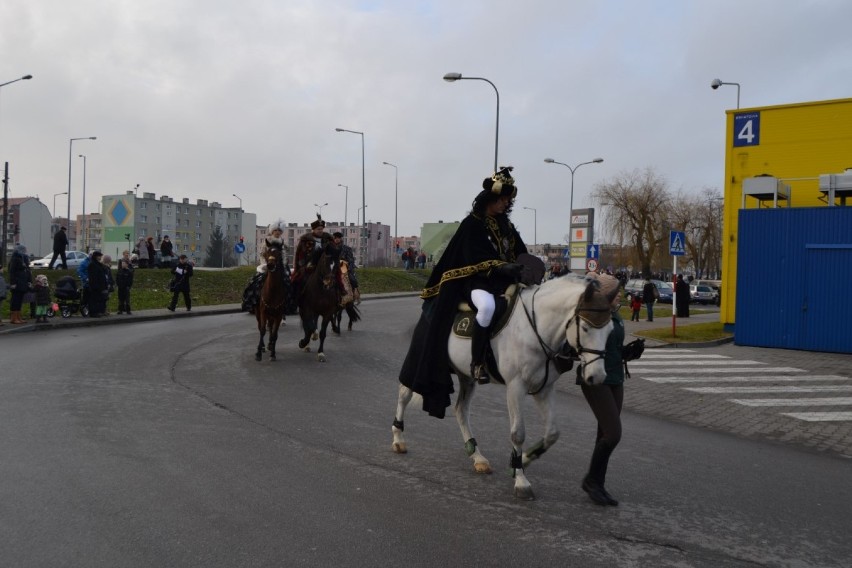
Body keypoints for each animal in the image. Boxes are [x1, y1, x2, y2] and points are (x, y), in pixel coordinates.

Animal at [392, 276, 612, 502]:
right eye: (585, 328)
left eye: (610, 331)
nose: (597, 376)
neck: (534, 329)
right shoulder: (516, 387)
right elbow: (518, 434)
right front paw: (521, 481)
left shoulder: (545, 388)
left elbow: (552, 433)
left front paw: (525, 458)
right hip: (419, 363)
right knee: (404, 393)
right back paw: (398, 438)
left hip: (466, 376)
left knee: (461, 410)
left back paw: (477, 456)